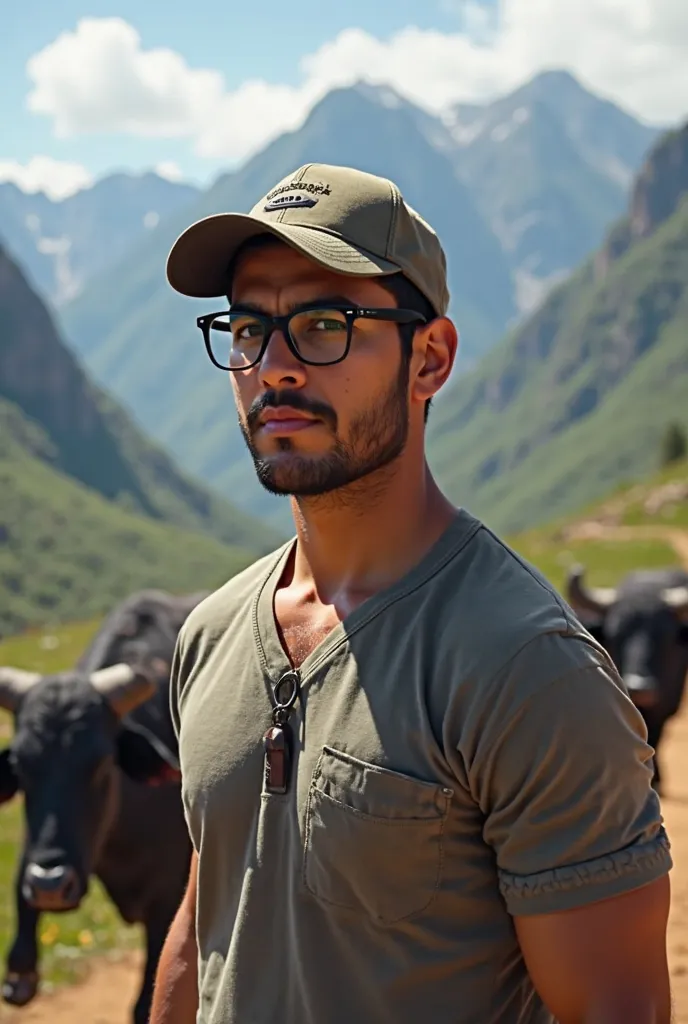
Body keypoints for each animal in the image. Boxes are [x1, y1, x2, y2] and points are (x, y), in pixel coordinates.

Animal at [565, 569, 688, 790]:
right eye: (616, 633)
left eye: (666, 636)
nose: (640, 687)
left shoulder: (663, 709)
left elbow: (656, 736)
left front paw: (656, 778)